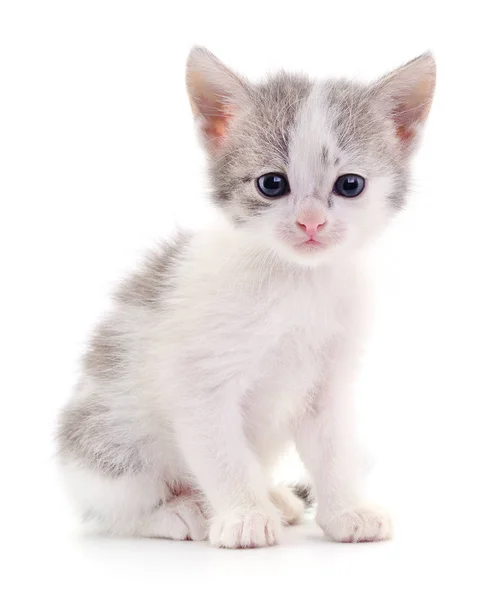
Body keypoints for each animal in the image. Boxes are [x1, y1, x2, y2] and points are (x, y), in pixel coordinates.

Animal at [57, 47, 434, 548]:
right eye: (271, 184)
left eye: (350, 184)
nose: (310, 222)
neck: (297, 284)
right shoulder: (199, 383)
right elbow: (222, 456)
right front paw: (243, 516)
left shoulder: (328, 384)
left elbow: (334, 451)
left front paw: (347, 511)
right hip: (110, 448)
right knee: (114, 509)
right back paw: (181, 512)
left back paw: (275, 498)